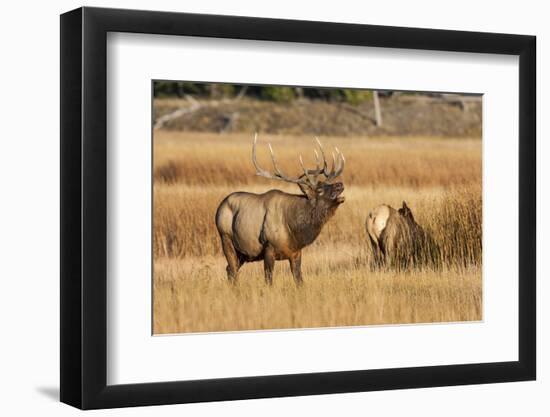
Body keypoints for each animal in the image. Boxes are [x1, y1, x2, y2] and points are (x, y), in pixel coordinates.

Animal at [215, 133, 344, 286]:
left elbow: (299, 281)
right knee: (232, 268)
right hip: (226, 238)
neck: (294, 230)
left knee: (230, 269)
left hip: (243, 254)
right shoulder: (268, 248)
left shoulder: (296, 253)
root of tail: (219, 208)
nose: (340, 184)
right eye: (319, 190)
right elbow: (269, 280)